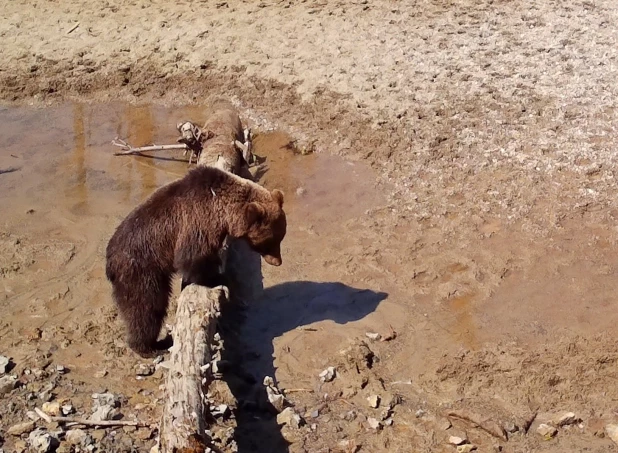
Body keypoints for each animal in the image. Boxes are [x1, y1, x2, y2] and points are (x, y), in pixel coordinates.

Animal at [104, 165, 286, 356]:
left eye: (281, 236)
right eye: (270, 242)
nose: (277, 261)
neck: (223, 210)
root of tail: (109, 260)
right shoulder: (196, 222)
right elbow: (192, 259)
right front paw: (218, 278)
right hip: (141, 267)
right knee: (145, 306)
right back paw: (150, 347)